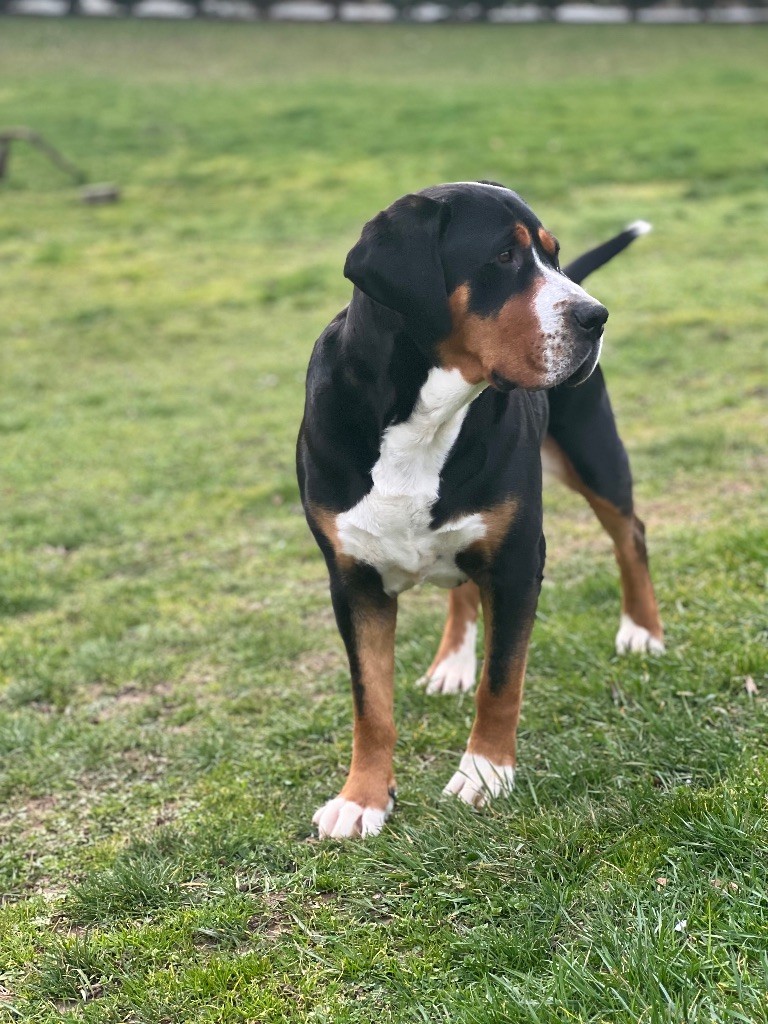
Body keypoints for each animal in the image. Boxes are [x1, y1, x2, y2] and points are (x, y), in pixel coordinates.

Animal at [296, 182, 663, 839]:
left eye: (553, 255)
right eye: (503, 257)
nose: (595, 316)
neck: (421, 416)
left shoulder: (516, 562)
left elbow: (501, 682)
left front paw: (484, 774)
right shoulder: (353, 581)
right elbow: (371, 702)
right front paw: (362, 797)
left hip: (592, 450)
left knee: (630, 534)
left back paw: (642, 630)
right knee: (460, 584)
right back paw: (452, 662)